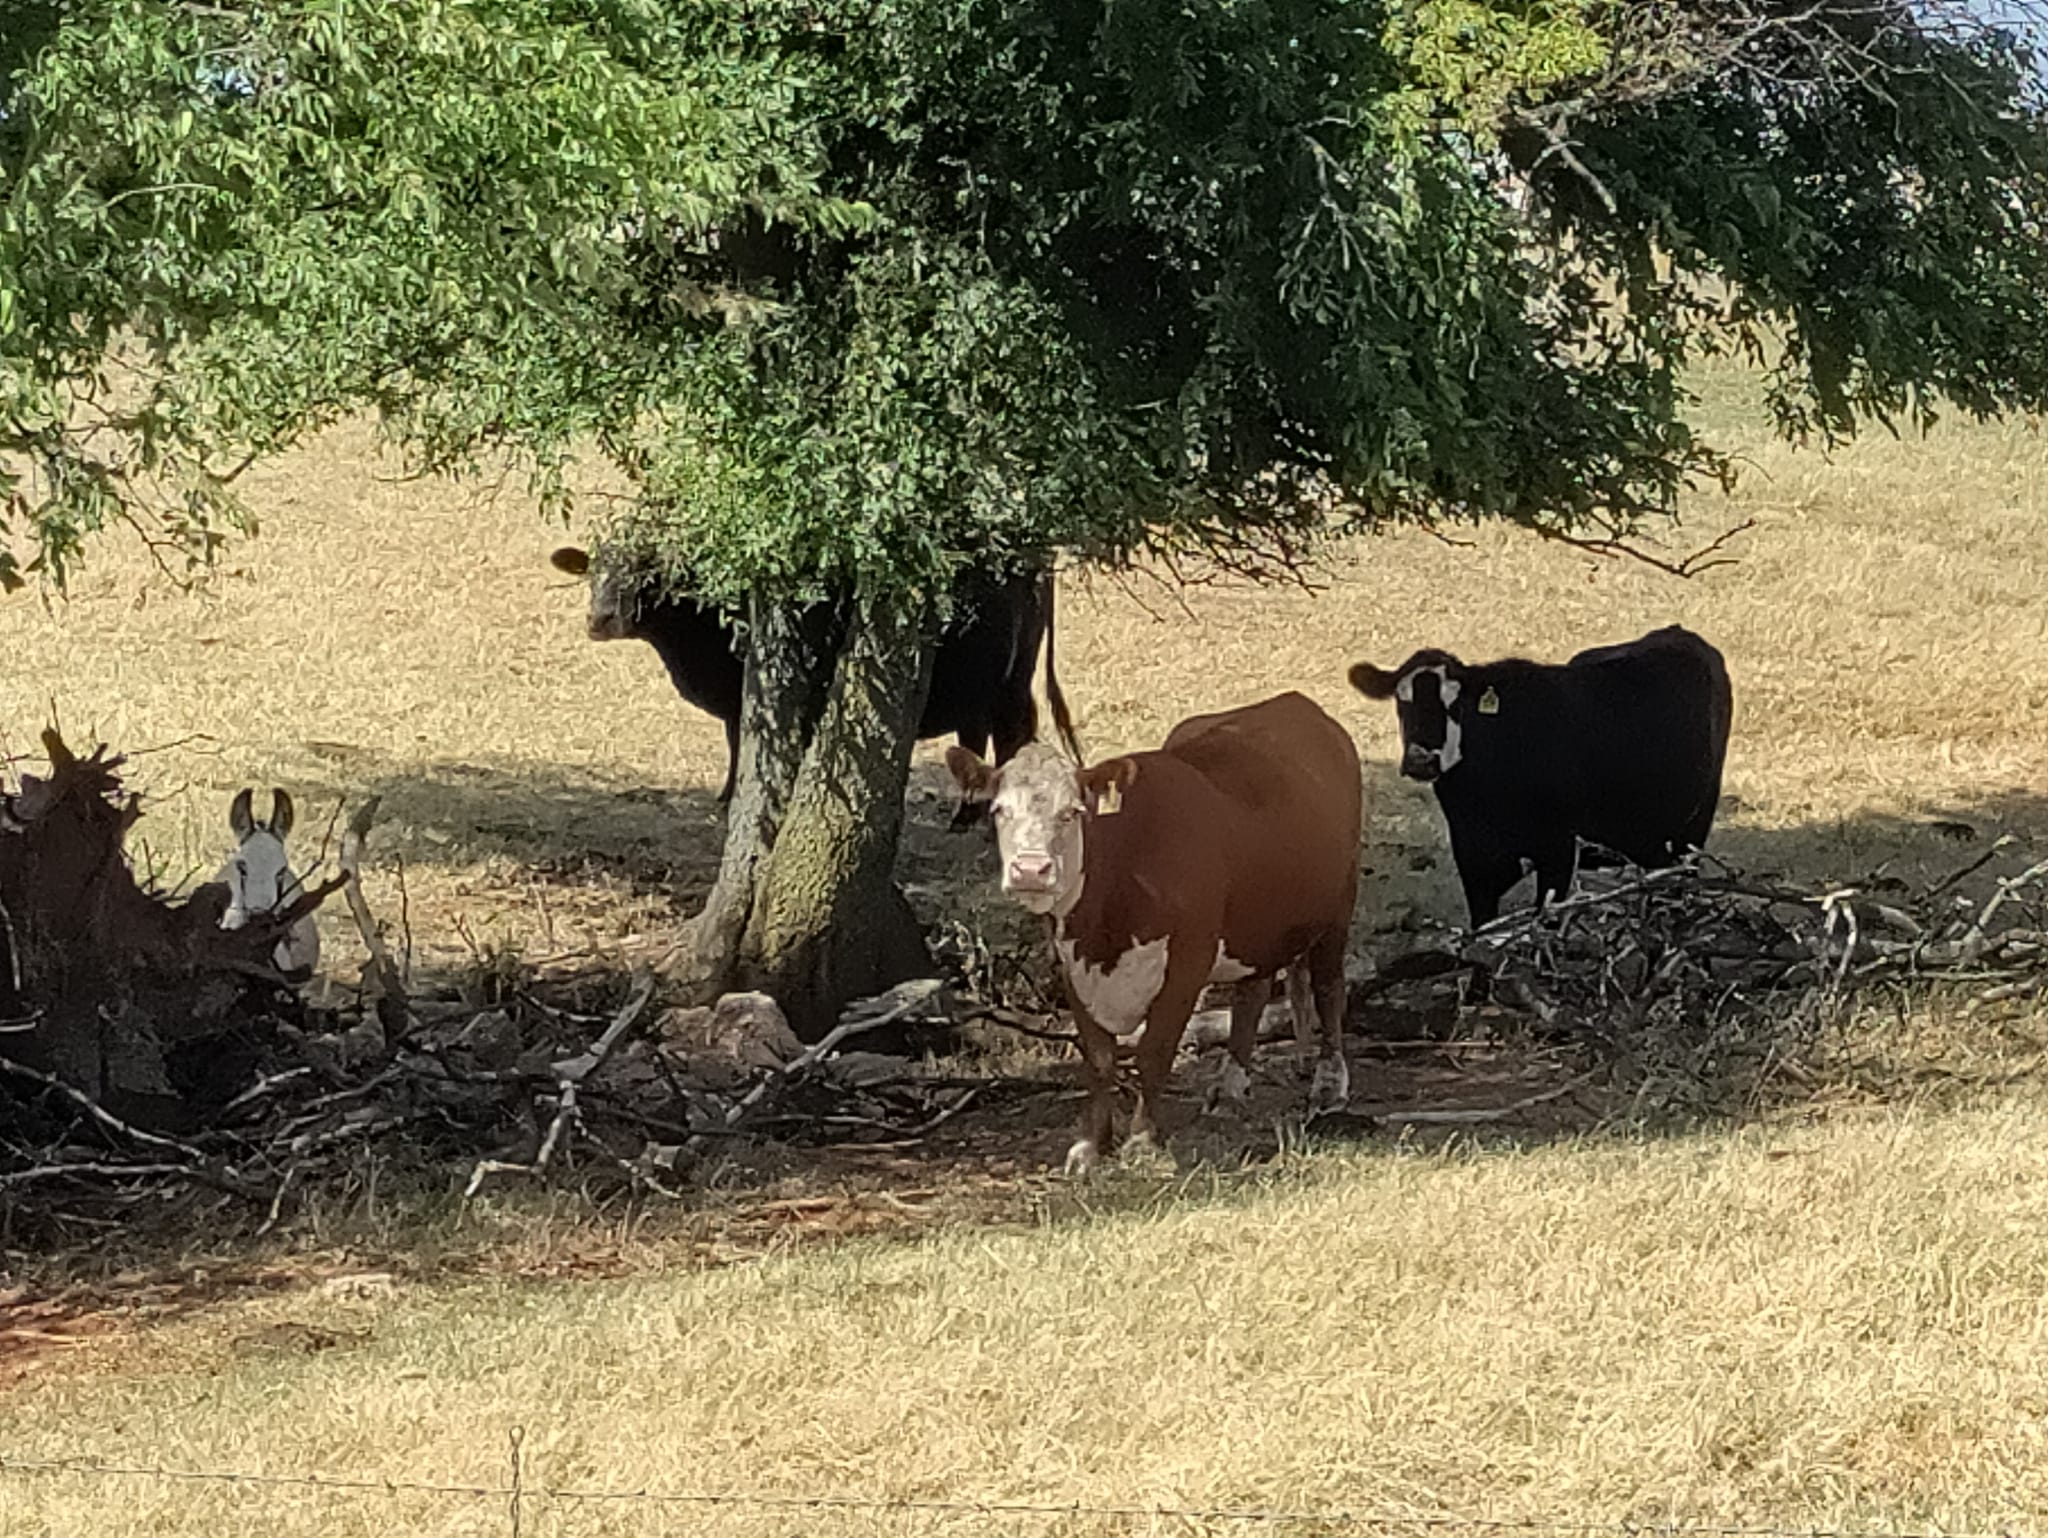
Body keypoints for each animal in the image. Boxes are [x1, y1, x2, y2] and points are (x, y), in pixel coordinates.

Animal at [552, 544, 1081, 806]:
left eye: (644, 574)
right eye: (592, 570)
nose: (600, 618)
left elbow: (744, 742)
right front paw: (727, 794)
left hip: (1008, 681)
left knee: (1009, 733)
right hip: (983, 685)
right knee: (980, 736)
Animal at [942, 696, 1359, 1179]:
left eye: (1073, 812)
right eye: (999, 811)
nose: (1030, 870)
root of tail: (1295, 702)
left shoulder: (1188, 960)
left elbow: (1154, 1052)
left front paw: (1141, 1141)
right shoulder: (1070, 964)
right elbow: (1099, 1058)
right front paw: (1091, 1145)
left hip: (1338, 906)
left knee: (1329, 988)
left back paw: (1329, 1084)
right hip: (1257, 924)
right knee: (1251, 993)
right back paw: (1229, 1085)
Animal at [1351, 622, 1736, 925]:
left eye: (1455, 704)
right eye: (1402, 703)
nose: (1421, 760)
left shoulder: (1558, 849)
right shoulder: (1471, 853)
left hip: (1696, 823)